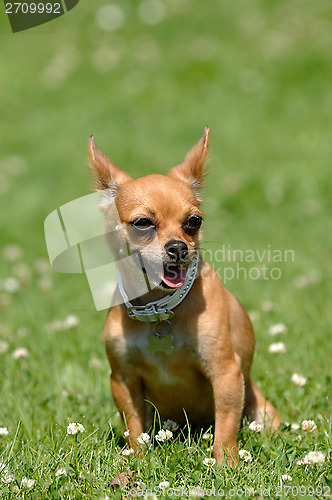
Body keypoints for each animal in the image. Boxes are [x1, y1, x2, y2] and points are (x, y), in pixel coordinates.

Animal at [89, 126, 280, 464]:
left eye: (194, 221)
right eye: (143, 223)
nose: (178, 247)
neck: (160, 309)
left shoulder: (226, 374)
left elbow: (226, 426)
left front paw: (225, 464)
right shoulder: (123, 381)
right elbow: (133, 426)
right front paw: (139, 461)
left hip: (262, 412)